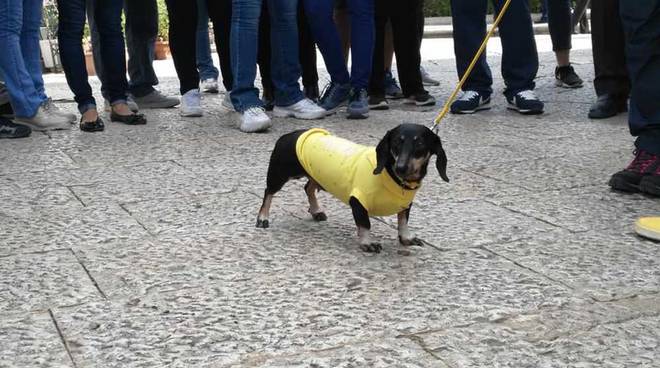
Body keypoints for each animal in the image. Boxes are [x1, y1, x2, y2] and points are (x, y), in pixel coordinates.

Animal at [254, 123, 448, 253]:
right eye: (396, 143)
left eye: (420, 144)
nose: (400, 167)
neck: (390, 175)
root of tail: (289, 135)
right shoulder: (358, 201)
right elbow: (365, 224)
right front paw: (367, 243)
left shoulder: (405, 204)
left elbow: (403, 221)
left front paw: (406, 238)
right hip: (279, 175)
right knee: (268, 193)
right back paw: (263, 217)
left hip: (314, 175)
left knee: (308, 188)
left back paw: (316, 211)